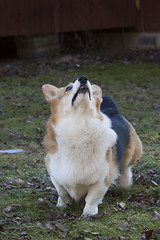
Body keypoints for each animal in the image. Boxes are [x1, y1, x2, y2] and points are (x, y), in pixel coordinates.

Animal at [41, 76, 142, 216]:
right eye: (68, 88)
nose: (83, 78)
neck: (80, 124)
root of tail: (113, 110)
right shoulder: (55, 174)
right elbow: (62, 191)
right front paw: (62, 204)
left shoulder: (102, 180)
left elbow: (92, 198)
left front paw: (89, 213)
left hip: (131, 153)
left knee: (125, 167)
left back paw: (125, 183)